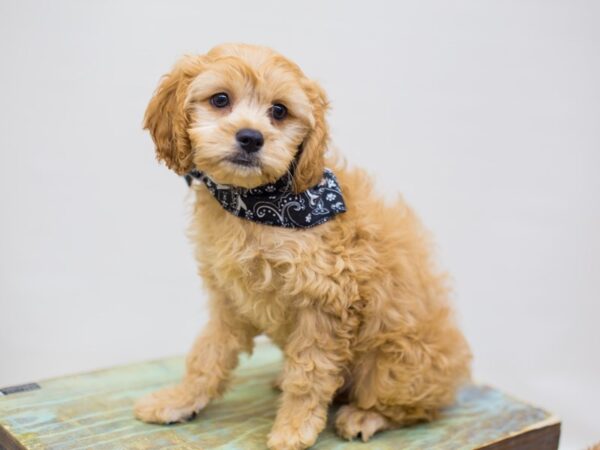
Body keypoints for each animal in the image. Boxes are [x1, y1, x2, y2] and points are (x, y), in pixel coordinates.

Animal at [135, 43, 474, 450]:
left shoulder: (324, 301)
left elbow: (309, 373)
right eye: (220, 100)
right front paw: (179, 401)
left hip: (395, 363)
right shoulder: (228, 299)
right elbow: (207, 354)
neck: (253, 205)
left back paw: (365, 415)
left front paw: (293, 428)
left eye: (279, 111)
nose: (251, 137)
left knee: (415, 408)